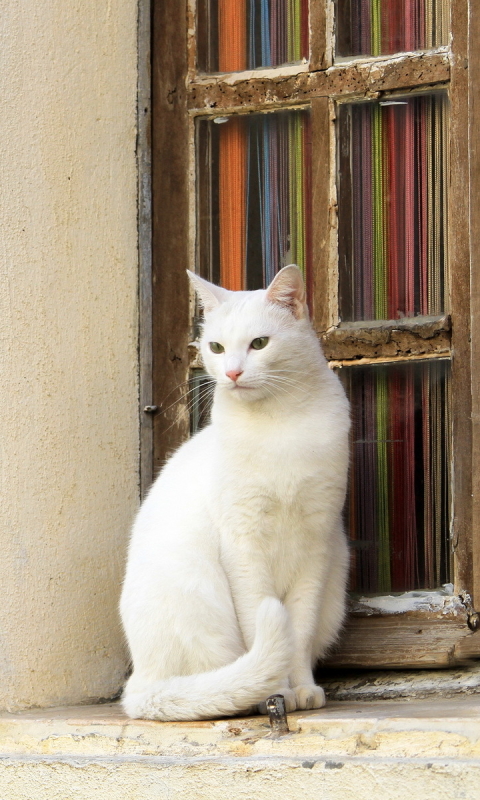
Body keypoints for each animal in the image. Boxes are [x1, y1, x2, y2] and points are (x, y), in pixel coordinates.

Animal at [121, 266, 348, 720]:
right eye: (217, 347)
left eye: (259, 343)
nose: (232, 374)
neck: (280, 422)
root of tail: (141, 681)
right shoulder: (243, 545)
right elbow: (260, 622)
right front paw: (277, 694)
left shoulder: (317, 545)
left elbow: (298, 632)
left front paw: (301, 689)